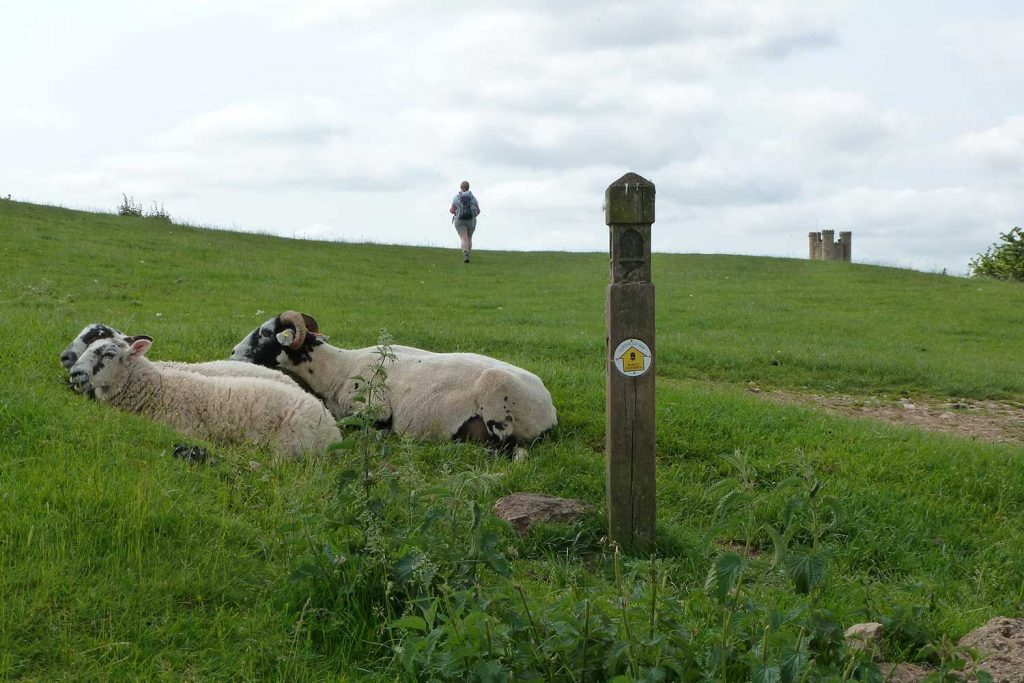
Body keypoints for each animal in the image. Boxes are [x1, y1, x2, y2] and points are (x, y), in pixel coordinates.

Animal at [229, 311, 557, 447]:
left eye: (266, 333)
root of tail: (549, 410)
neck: (337, 369)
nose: (232, 353)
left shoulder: (375, 411)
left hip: (499, 402)